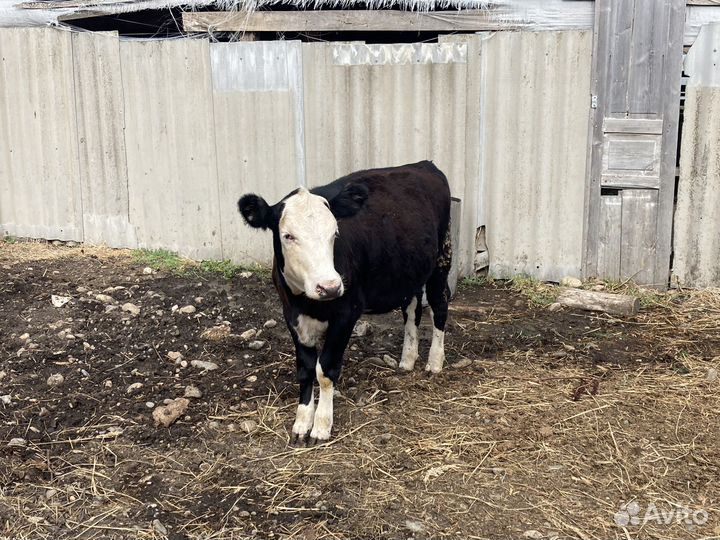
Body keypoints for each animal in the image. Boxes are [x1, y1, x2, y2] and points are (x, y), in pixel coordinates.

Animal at [238, 161, 452, 445]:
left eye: (335, 233)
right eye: (287, 236)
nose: (329, 287)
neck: (307, 301)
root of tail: (423, 164)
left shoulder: (346, 313)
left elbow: (325, 369)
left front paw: (321, 425)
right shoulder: (291, 314)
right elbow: (305, 368)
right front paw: (301, 422)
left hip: (442, 256)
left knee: (439, 305)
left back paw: (435, 362)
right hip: (411, 269)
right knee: (412, 307)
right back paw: (408, 358)